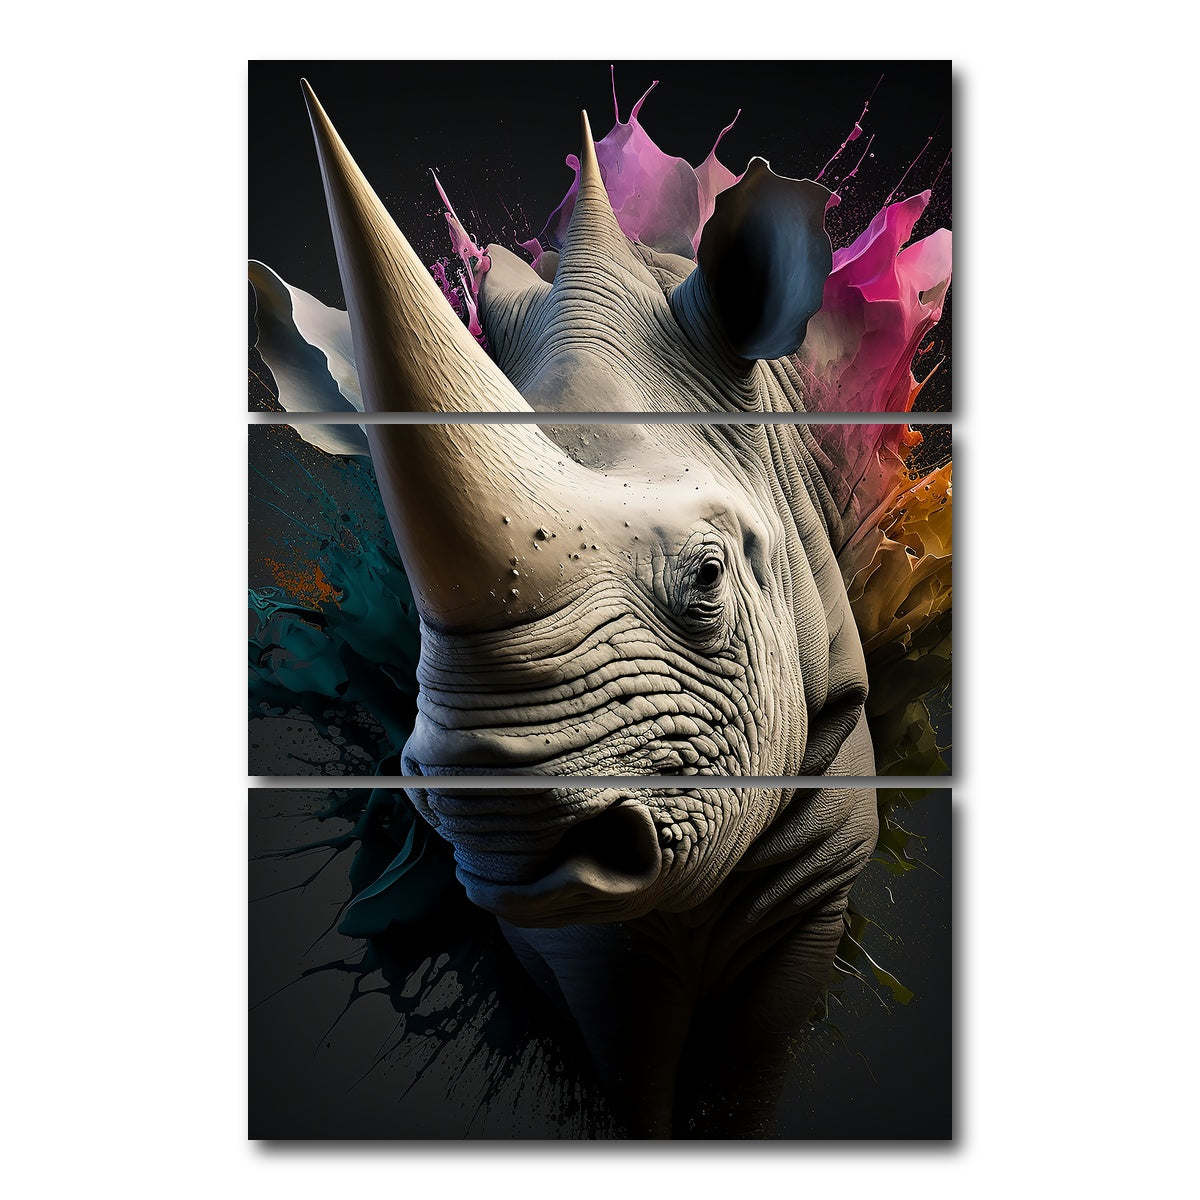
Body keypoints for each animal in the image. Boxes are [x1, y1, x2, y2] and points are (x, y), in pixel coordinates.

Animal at [293, 81, 882, 1138]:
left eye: (709, 578)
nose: (507, 829)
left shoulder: (819, 871)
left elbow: (750, 1067)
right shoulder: (568, 934)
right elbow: (627, 1049)